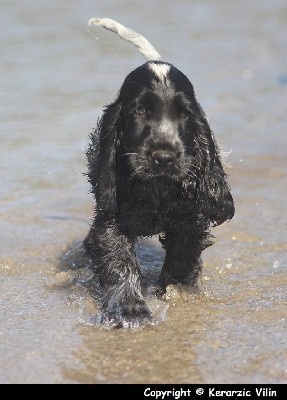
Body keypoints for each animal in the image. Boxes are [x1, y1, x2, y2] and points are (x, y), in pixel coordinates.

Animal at [84, 60, 236, 328]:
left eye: (184, 114)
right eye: (140, 111)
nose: (164, 157)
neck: (157, 189)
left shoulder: (188, 219)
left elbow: (183, 254)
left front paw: (175, 290)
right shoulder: (112, 220)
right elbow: (118, 260)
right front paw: (129, 308)